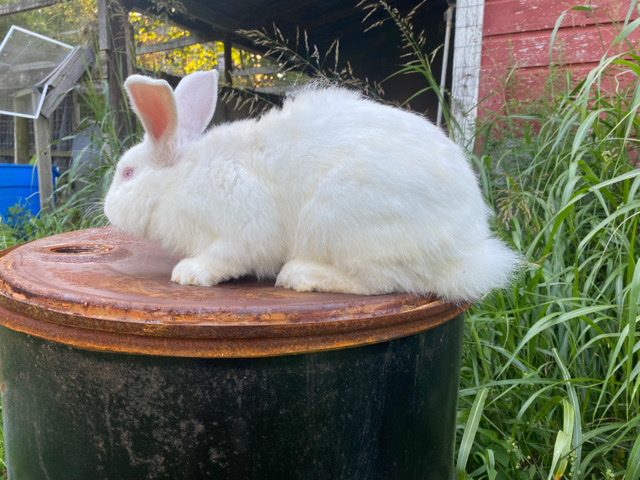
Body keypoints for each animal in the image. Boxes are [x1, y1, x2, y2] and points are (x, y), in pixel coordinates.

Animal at [104, 69, 519, 302]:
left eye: (127, 174)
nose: (106, 208)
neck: (178, 179)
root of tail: (465, 254)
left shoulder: (240, 230)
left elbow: (225, 257)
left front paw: (189, 273)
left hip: (340, 223)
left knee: (380, 283)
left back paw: (300, 276)